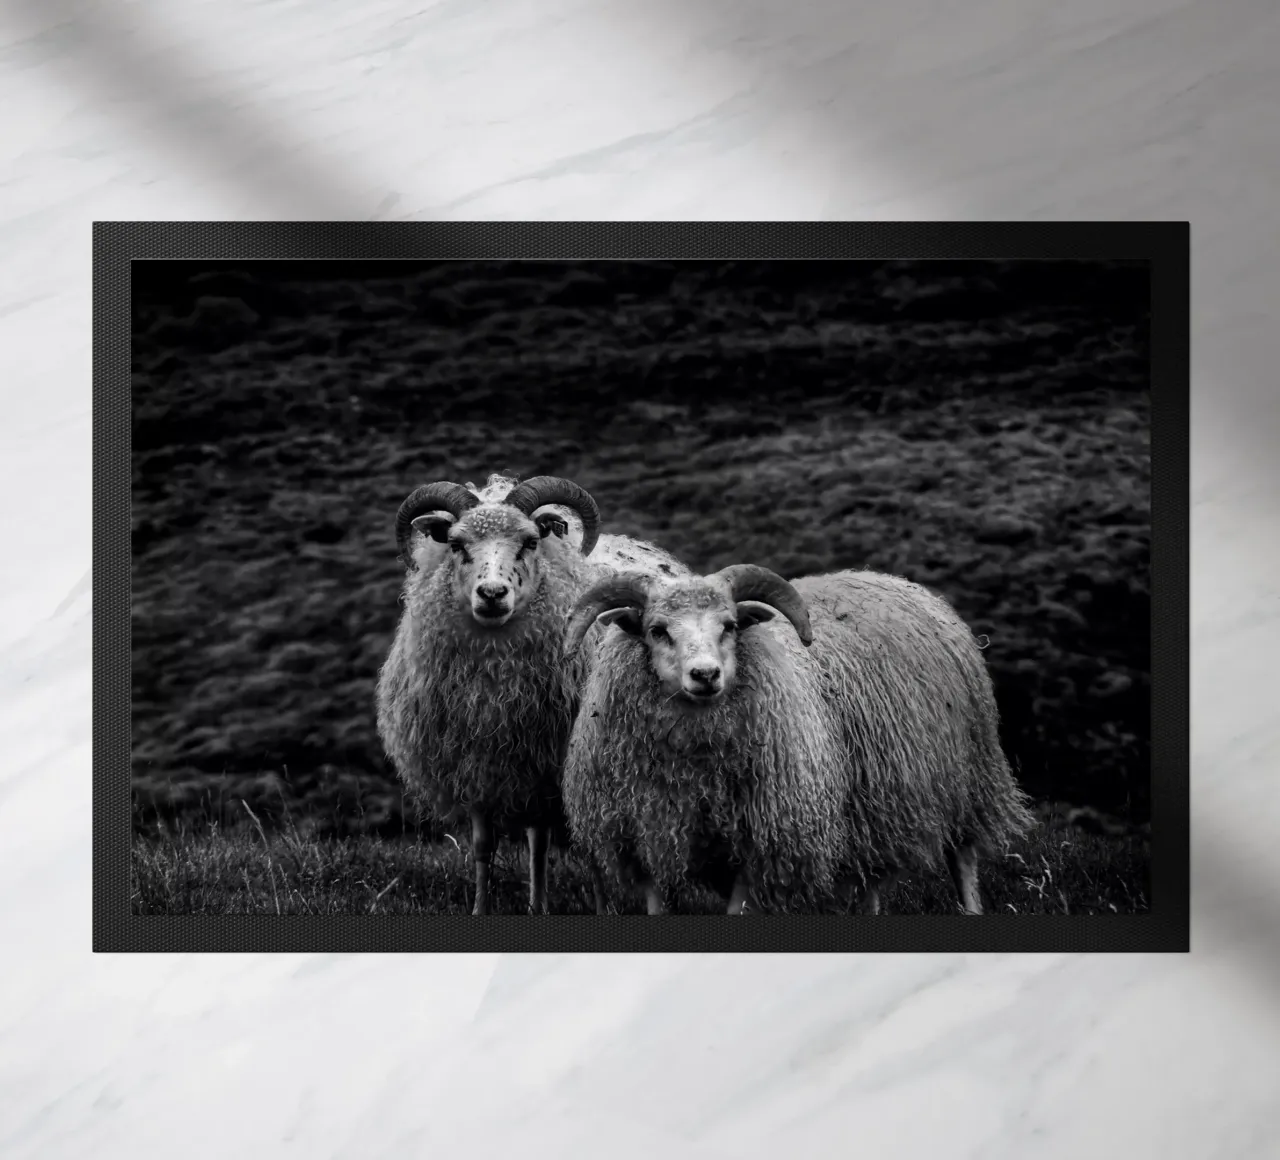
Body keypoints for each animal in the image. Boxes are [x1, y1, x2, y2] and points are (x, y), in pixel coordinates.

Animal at [375, 472, 688, 915]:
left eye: (528, 541)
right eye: (456, 544)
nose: (492, 594)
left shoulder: (553, 762)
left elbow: (566, 846)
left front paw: (580, 907)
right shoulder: (477, 766)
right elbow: (483, 846)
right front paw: (481, 908)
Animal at [561, 564, 1036, 916]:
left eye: (730, 626)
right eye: (657, 630)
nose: (705, 675)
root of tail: (898, 581)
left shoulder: (760, 840)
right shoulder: (643, 834)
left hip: (969, 774)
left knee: (964, 857)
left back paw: (971, 906)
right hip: (873, 802)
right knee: (870, 878)